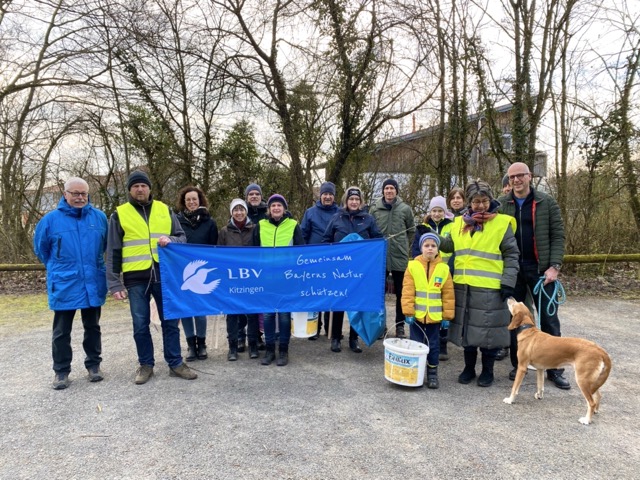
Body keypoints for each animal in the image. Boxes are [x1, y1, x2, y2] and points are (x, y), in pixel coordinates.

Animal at [502, 298, 612, 426]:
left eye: (515, 303)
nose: (510, 297)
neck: (528, 329)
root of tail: (599, 349)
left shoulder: (522, 367)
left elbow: (514, 388)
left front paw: (510, 400)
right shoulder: (540, 368)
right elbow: (540, 385)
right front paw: (539, 396)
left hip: (582, 379)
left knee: (591, 402)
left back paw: (586, 420)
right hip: (591, 380)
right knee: (598, 395)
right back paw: (595, 411)